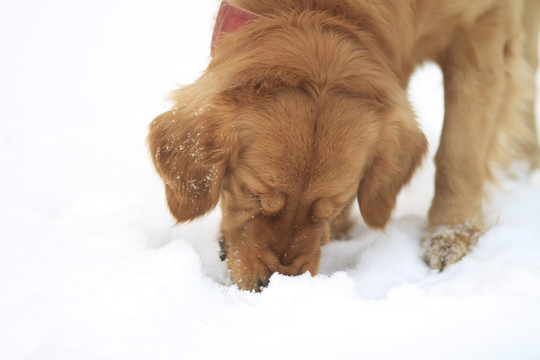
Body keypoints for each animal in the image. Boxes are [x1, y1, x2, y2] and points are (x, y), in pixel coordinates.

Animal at [146, 0, 536, 292]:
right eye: (255, 195)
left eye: (329, 208)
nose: (276, 285)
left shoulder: (484, 23)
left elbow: (460, 149)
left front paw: (451, 235)